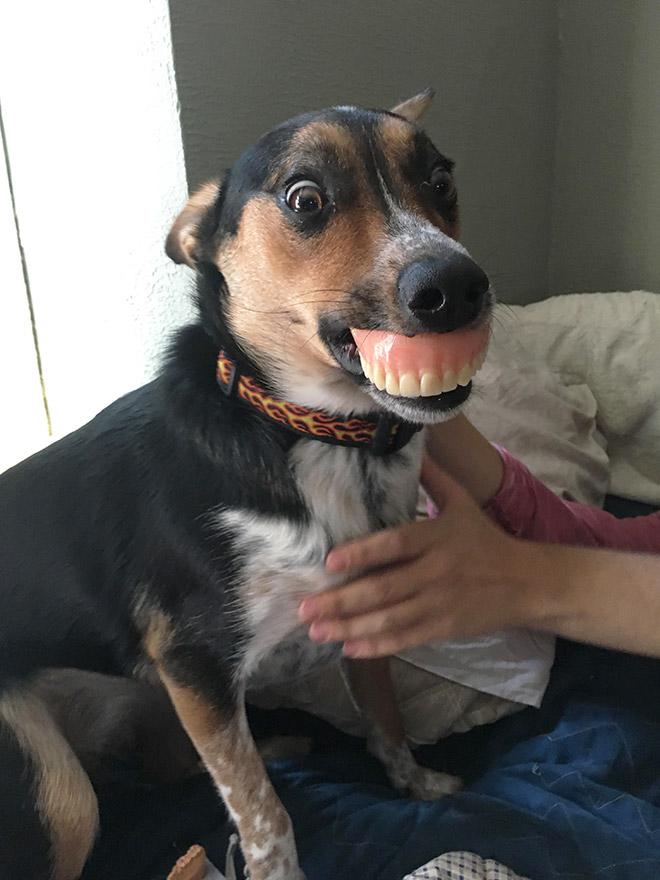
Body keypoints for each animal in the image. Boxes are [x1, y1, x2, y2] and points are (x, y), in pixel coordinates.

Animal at [0, 91, 490, 880]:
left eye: (441, 180)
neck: (319, 438)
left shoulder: (363, 620)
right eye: (305, 198)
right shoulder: (194, 667)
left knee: (175, 765)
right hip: (60, 788)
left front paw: (414, 782)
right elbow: (264, 814)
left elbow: (385, 719)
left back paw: (276, 743)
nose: (458, 287)